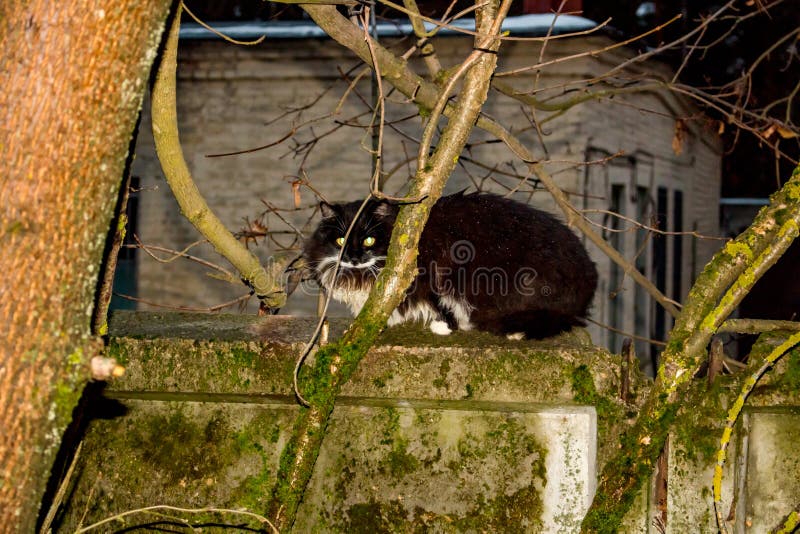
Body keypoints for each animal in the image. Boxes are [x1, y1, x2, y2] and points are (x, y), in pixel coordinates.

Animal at [304, 195, 596, 342]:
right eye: (341, 241)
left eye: (369, 241)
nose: (353, 257)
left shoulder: (431, 272)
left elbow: (433, 301)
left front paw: (444, 326)